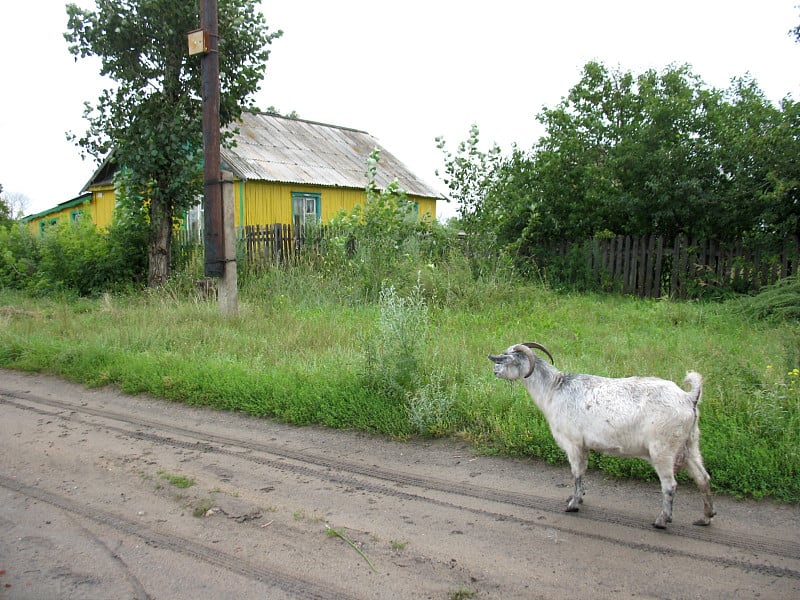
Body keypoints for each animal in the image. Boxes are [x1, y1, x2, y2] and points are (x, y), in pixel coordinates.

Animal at [488, 342, 720, 528]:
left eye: (505, 358)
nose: (494, 370)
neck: (554, 389)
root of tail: (689, 397)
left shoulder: (573, 444)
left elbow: (577, 473)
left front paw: (573, 505)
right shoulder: (584, 446)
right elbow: (583, 472)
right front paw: (578, 498)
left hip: (663, 449)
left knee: (670, 485)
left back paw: (662, 520)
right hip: (690, 445)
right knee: (703, 478)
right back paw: (705, 517)